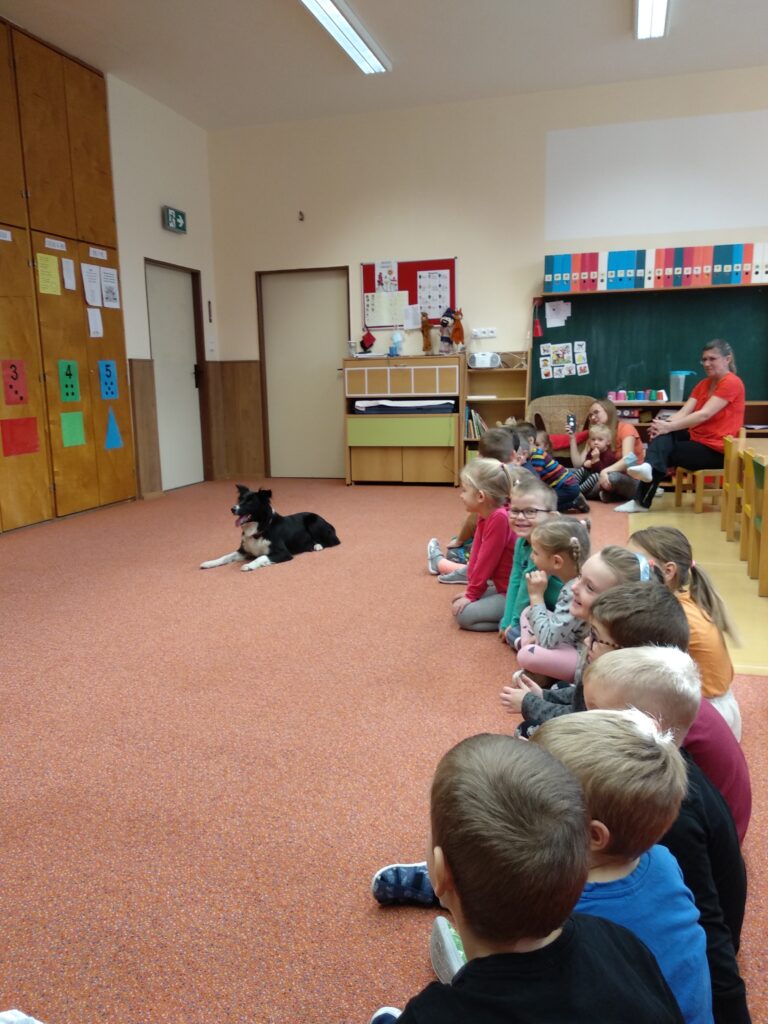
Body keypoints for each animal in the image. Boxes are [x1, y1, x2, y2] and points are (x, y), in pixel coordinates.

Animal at [200, 485, 340, 571]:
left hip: (313, 521)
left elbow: (261, 557)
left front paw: (249, 565)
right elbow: (225, 556)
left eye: (250, 502)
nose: (232, 509)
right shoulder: (244, 551)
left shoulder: (284, 553)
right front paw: (209, 563)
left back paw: (317, 546)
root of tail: (328, 523)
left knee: (333, 541)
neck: (260, 530)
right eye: (240, 500)